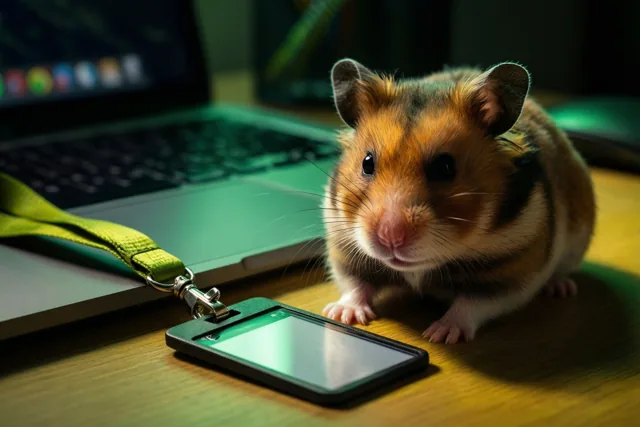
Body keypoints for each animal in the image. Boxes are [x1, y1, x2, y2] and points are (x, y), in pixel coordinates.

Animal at [320, 58, 596, 344]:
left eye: (445, 167)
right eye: (367, 163)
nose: (390, 237)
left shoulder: (514, 270)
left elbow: (471, 305)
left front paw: (439, 335)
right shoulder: (344, 247)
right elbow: (355, 285)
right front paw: (341, 315)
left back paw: (560, 288)